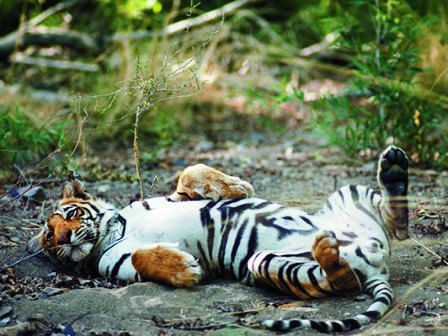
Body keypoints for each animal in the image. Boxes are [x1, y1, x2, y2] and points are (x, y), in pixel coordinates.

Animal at [28, 146, 410, 332]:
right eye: (50, 239)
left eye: (69, 215)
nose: (63, 237)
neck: (113, 229)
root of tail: (375, 267)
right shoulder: (121, 268)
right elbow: (139, 256)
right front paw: (186, 269)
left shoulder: (174, 198)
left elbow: (191, 171)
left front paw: (238, 186)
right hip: (268, 263)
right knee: (340, 280)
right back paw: (328, 248)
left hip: (349, 193)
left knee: (398, 225)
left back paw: (394, 172)